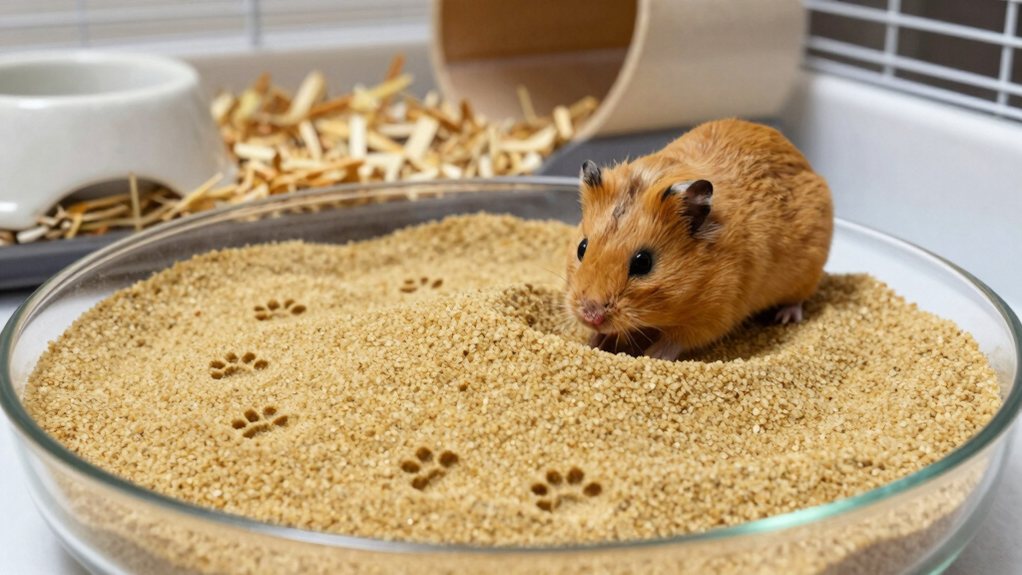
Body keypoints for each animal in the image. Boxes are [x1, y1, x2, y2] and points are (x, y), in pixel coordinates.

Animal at [564, 118, 833, 361]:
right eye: (582, 248)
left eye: (643, 262)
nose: (590, 316)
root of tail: (807, 164)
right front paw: (595, 341)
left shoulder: (715, 313)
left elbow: (676, 339)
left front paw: (652, 355)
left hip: (807, 274)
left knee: (798, 300)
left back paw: (786, 317)